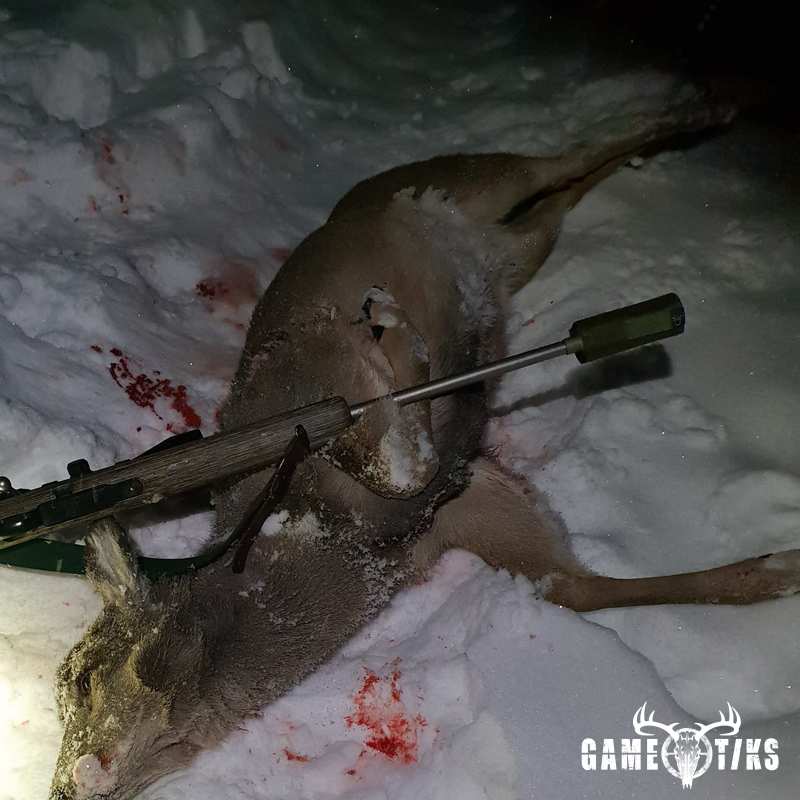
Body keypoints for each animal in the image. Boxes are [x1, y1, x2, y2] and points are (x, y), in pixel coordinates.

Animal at [49, 99, 800, 800]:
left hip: (468, 179)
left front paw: (396, 329)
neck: (337, 540)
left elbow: (395, 454)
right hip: (520, 248)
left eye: (78, 679)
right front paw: (775, 570)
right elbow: (579, 587)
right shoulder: (468, 516)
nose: (60, 783)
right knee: (557, 202)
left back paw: (696, 115)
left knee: (565, 156)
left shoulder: (312, 382)